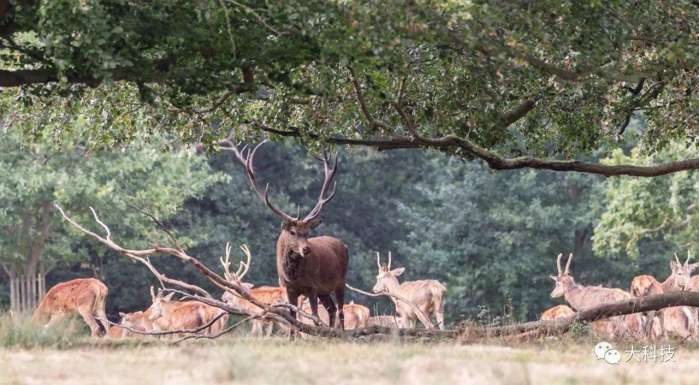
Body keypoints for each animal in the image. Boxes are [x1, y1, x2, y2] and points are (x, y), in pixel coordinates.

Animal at [227, 142, 350, 330]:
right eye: (292, 232)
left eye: (307, 232)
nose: (306, 249)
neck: (293, 276)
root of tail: (344, 245)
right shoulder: (289, 289)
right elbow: (293, 320)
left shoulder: (312, 287)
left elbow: (314, 316)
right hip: (324, 291)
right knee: (332, 308)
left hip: (340, 281)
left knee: (341, 311)